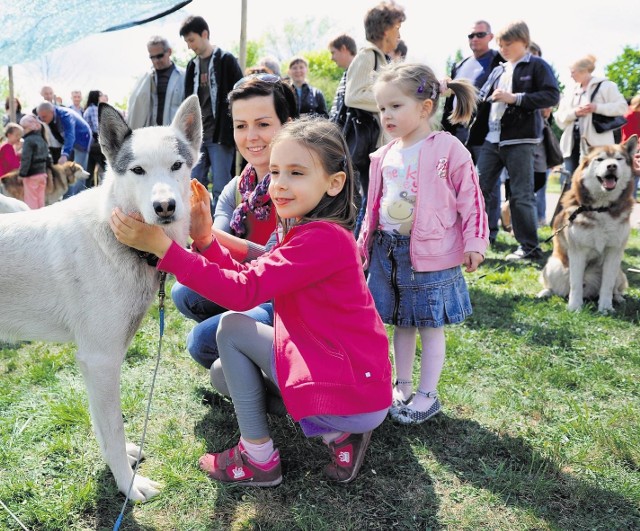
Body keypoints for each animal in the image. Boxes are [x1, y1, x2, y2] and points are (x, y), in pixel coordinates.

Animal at [0, 94, 202, 498]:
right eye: (138, 171)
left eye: (176, 166)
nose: (165, 207)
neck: (115, 235)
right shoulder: (101, 361)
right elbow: (113, 430)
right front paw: (127, 484)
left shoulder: (98, 365)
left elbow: (104, 428)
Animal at [536, 135, 636, 314]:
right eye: (600, 159)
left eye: (619, 159)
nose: (612, 166)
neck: (601, 209)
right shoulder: (578, 251)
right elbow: (575, 284)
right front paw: (574, 307)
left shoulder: (614, 251)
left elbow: (607, 285)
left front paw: (606, 308)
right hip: (553, 266)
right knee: (554, 285)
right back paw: (545, 292)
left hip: (619, 271)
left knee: (616, 287)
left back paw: (618, 298)